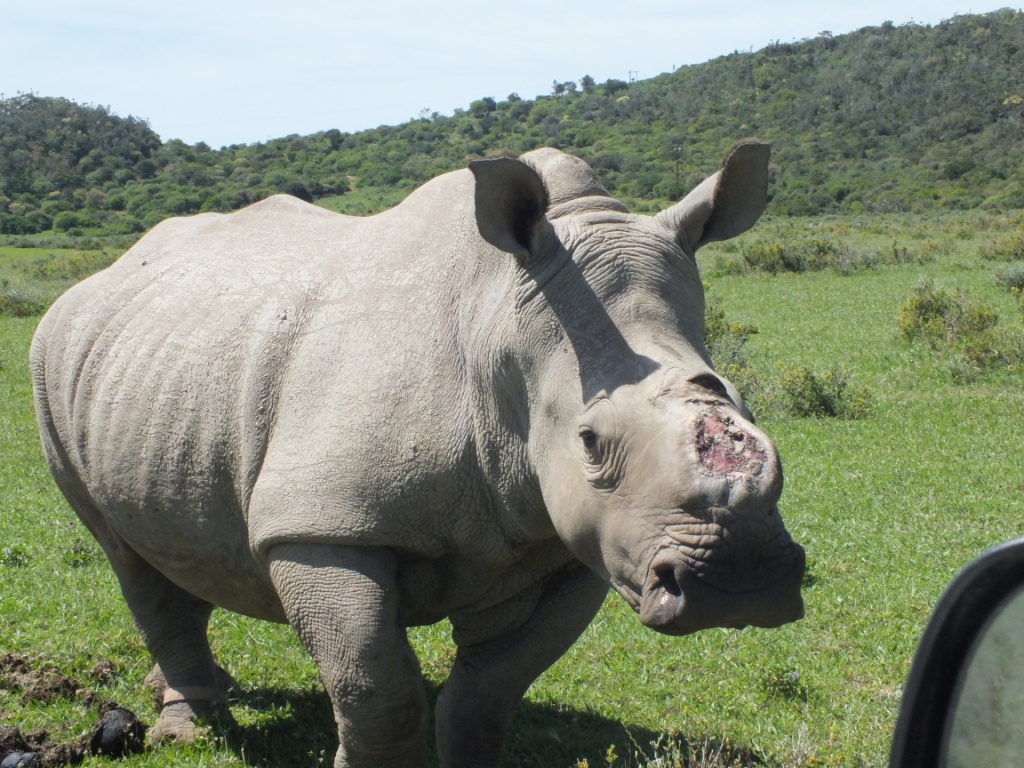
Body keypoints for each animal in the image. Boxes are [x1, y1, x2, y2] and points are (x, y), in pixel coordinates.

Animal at [29, 141, 798, 765]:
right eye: (590, 442)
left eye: (747, 410)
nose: (740, 576)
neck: (498, 331)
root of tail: (102, 275)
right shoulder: (320, 528)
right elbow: (378, 691)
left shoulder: (578, 545)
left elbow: (487, 694)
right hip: (50, 358)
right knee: (126, 557)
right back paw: (184, 730)